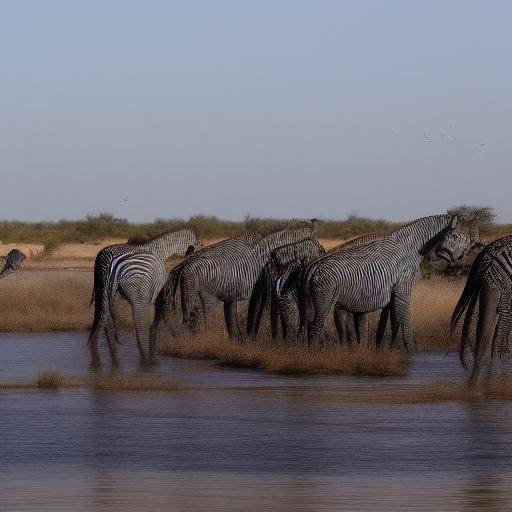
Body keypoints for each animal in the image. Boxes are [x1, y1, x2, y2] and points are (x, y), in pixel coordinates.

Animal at [88, 229, 200, 368]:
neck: (161, 252)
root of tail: (108, 257)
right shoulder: (156, 292)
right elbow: (159, 314)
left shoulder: (117, 294)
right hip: (137, 294)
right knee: (139, 325)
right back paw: (144, 360)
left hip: (102, 289)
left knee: (103, 320)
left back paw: (104, 361)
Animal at [158, 227, 318, 340]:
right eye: (317, 248)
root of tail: (183, 263)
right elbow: (257, 306)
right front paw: (249, 339)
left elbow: (240, 308)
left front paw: (242, 340)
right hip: (191, 282)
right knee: (191, 312)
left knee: (202, 311)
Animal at [302, 214, 470, 350]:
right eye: (455, 237)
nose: (461, 258)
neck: (411, 248)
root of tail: (314, 266)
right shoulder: (403, 289)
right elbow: (405, 322)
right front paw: (411, 352)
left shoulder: (391, 294)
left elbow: (390, 323)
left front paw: (385, 350)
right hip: (325, 300)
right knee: (316, 328)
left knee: (312, 326)